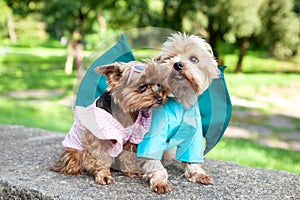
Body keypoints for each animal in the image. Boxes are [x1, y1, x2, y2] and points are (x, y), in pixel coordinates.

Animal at [138, 32, 220, 194]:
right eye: (170, 57)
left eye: (194, 59)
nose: (177, 64)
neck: (180, 102)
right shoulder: (154, 134)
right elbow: (154, 161)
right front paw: (160, 181)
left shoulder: (194, 134)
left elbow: (192, 156)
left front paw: (197, 173)